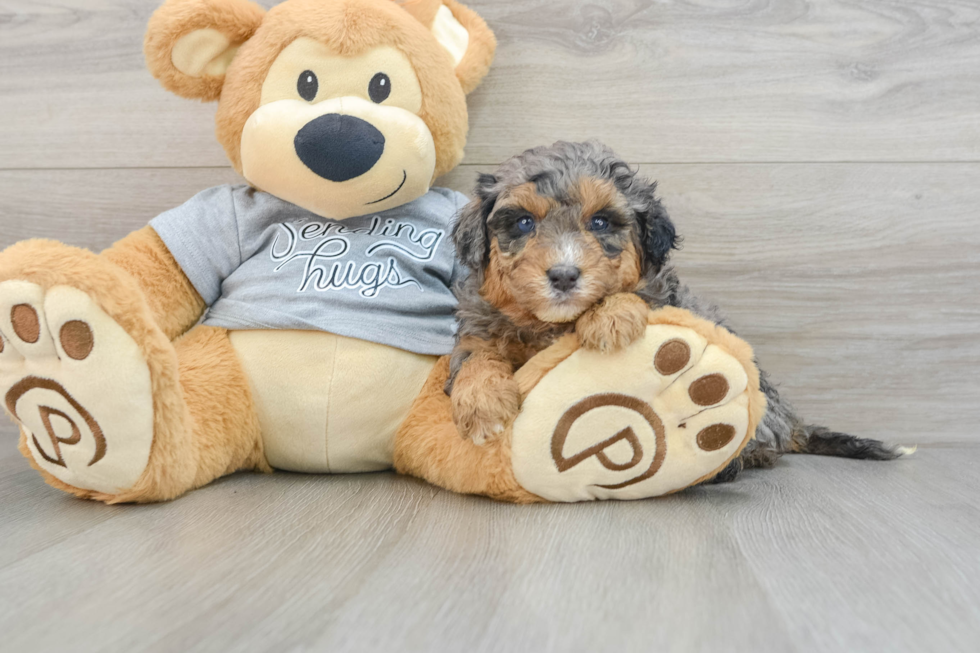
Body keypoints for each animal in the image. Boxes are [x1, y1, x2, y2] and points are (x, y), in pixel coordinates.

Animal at [444, 141, 904, 478]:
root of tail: (792, 422)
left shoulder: (665, 300)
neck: (550, 326)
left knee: (758, 442)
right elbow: (475, 357)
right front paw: (483, 405)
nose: (563, 275)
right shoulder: (479, 325)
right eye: (523, 222)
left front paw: (611, 316)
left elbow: (638, 300)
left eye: (600, 222)